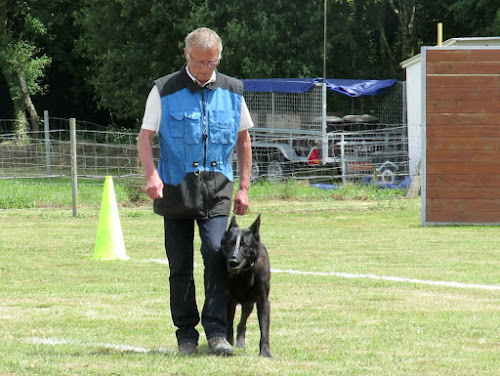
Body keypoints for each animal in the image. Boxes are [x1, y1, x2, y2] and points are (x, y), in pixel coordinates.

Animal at [221, 216, 272, 356]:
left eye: (244, 245)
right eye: (231, 243)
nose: (233, 261)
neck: (243, 276)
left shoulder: (263, 301)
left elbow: (264, 329)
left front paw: (265, 352)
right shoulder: (229, 301)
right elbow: (229, 326)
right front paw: (229, 345)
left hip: (249, 304)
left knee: (242, 324)